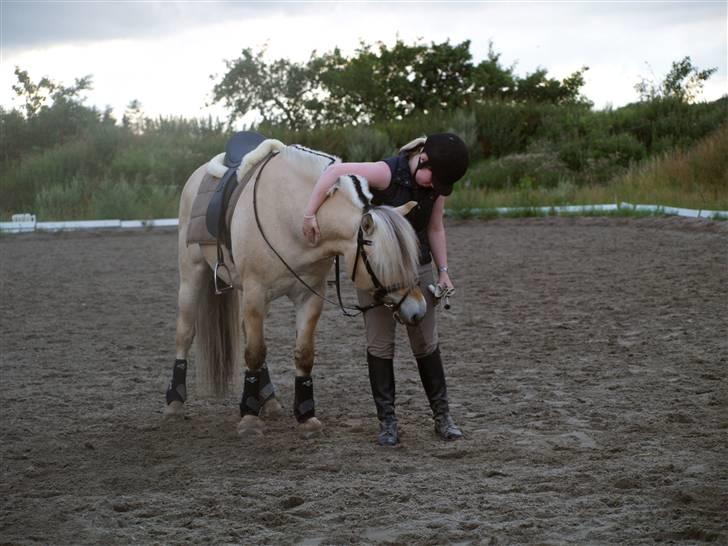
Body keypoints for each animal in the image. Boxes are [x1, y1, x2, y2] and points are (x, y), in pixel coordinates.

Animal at [165, 138, 426, 436]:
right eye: (384, 263)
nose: (418, 310)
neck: (292, 215)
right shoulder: (255, 293)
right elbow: (254, 352)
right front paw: (249, 418)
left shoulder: (310, 296)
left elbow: (303, 354)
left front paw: (305, 415)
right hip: (193, 275)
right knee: (185, 332)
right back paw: (175, 401)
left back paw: (268, 400)